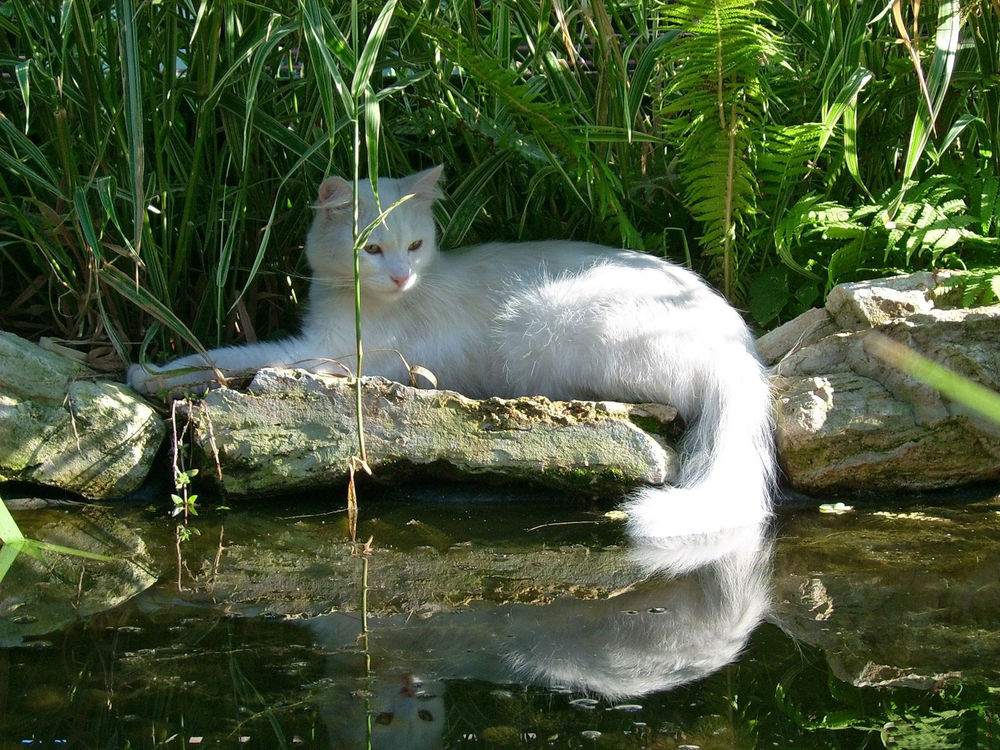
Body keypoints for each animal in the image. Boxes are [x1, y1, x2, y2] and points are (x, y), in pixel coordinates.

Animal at [129, 166, 776, 540]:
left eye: (415, 245)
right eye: (372, 249)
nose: (399, 276)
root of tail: (738, 346)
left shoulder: (343, 357)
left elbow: (240, 357)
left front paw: (154, 372)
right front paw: (158, 371)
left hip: (551, 326)